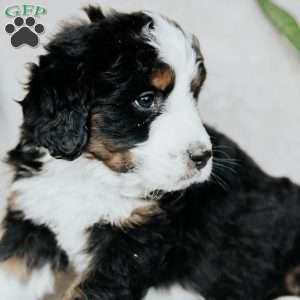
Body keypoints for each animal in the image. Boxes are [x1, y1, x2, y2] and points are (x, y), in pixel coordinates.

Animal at [1, 4, 300, 300]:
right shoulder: (32, 220)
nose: (202, 157)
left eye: (194, 95)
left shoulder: (133, 241)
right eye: (145, 99)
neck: (91, 173)